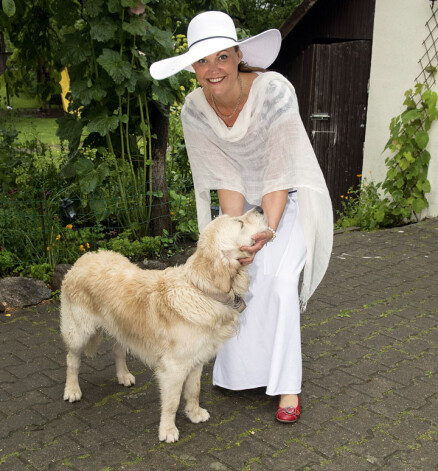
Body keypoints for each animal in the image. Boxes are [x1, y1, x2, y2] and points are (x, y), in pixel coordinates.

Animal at [59, 206, 266, 442]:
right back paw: (72, 390)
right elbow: (172, 402)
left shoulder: (197, 359)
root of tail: (83, 258)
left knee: (117, 349)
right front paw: (167, 430)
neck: (202, 290)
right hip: (79, 330)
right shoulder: (173, 367)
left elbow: (194, 390)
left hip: (123, 327)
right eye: (240, 223)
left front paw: (194, 414)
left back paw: (124, 376)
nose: (260, 208)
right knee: (72, 359)